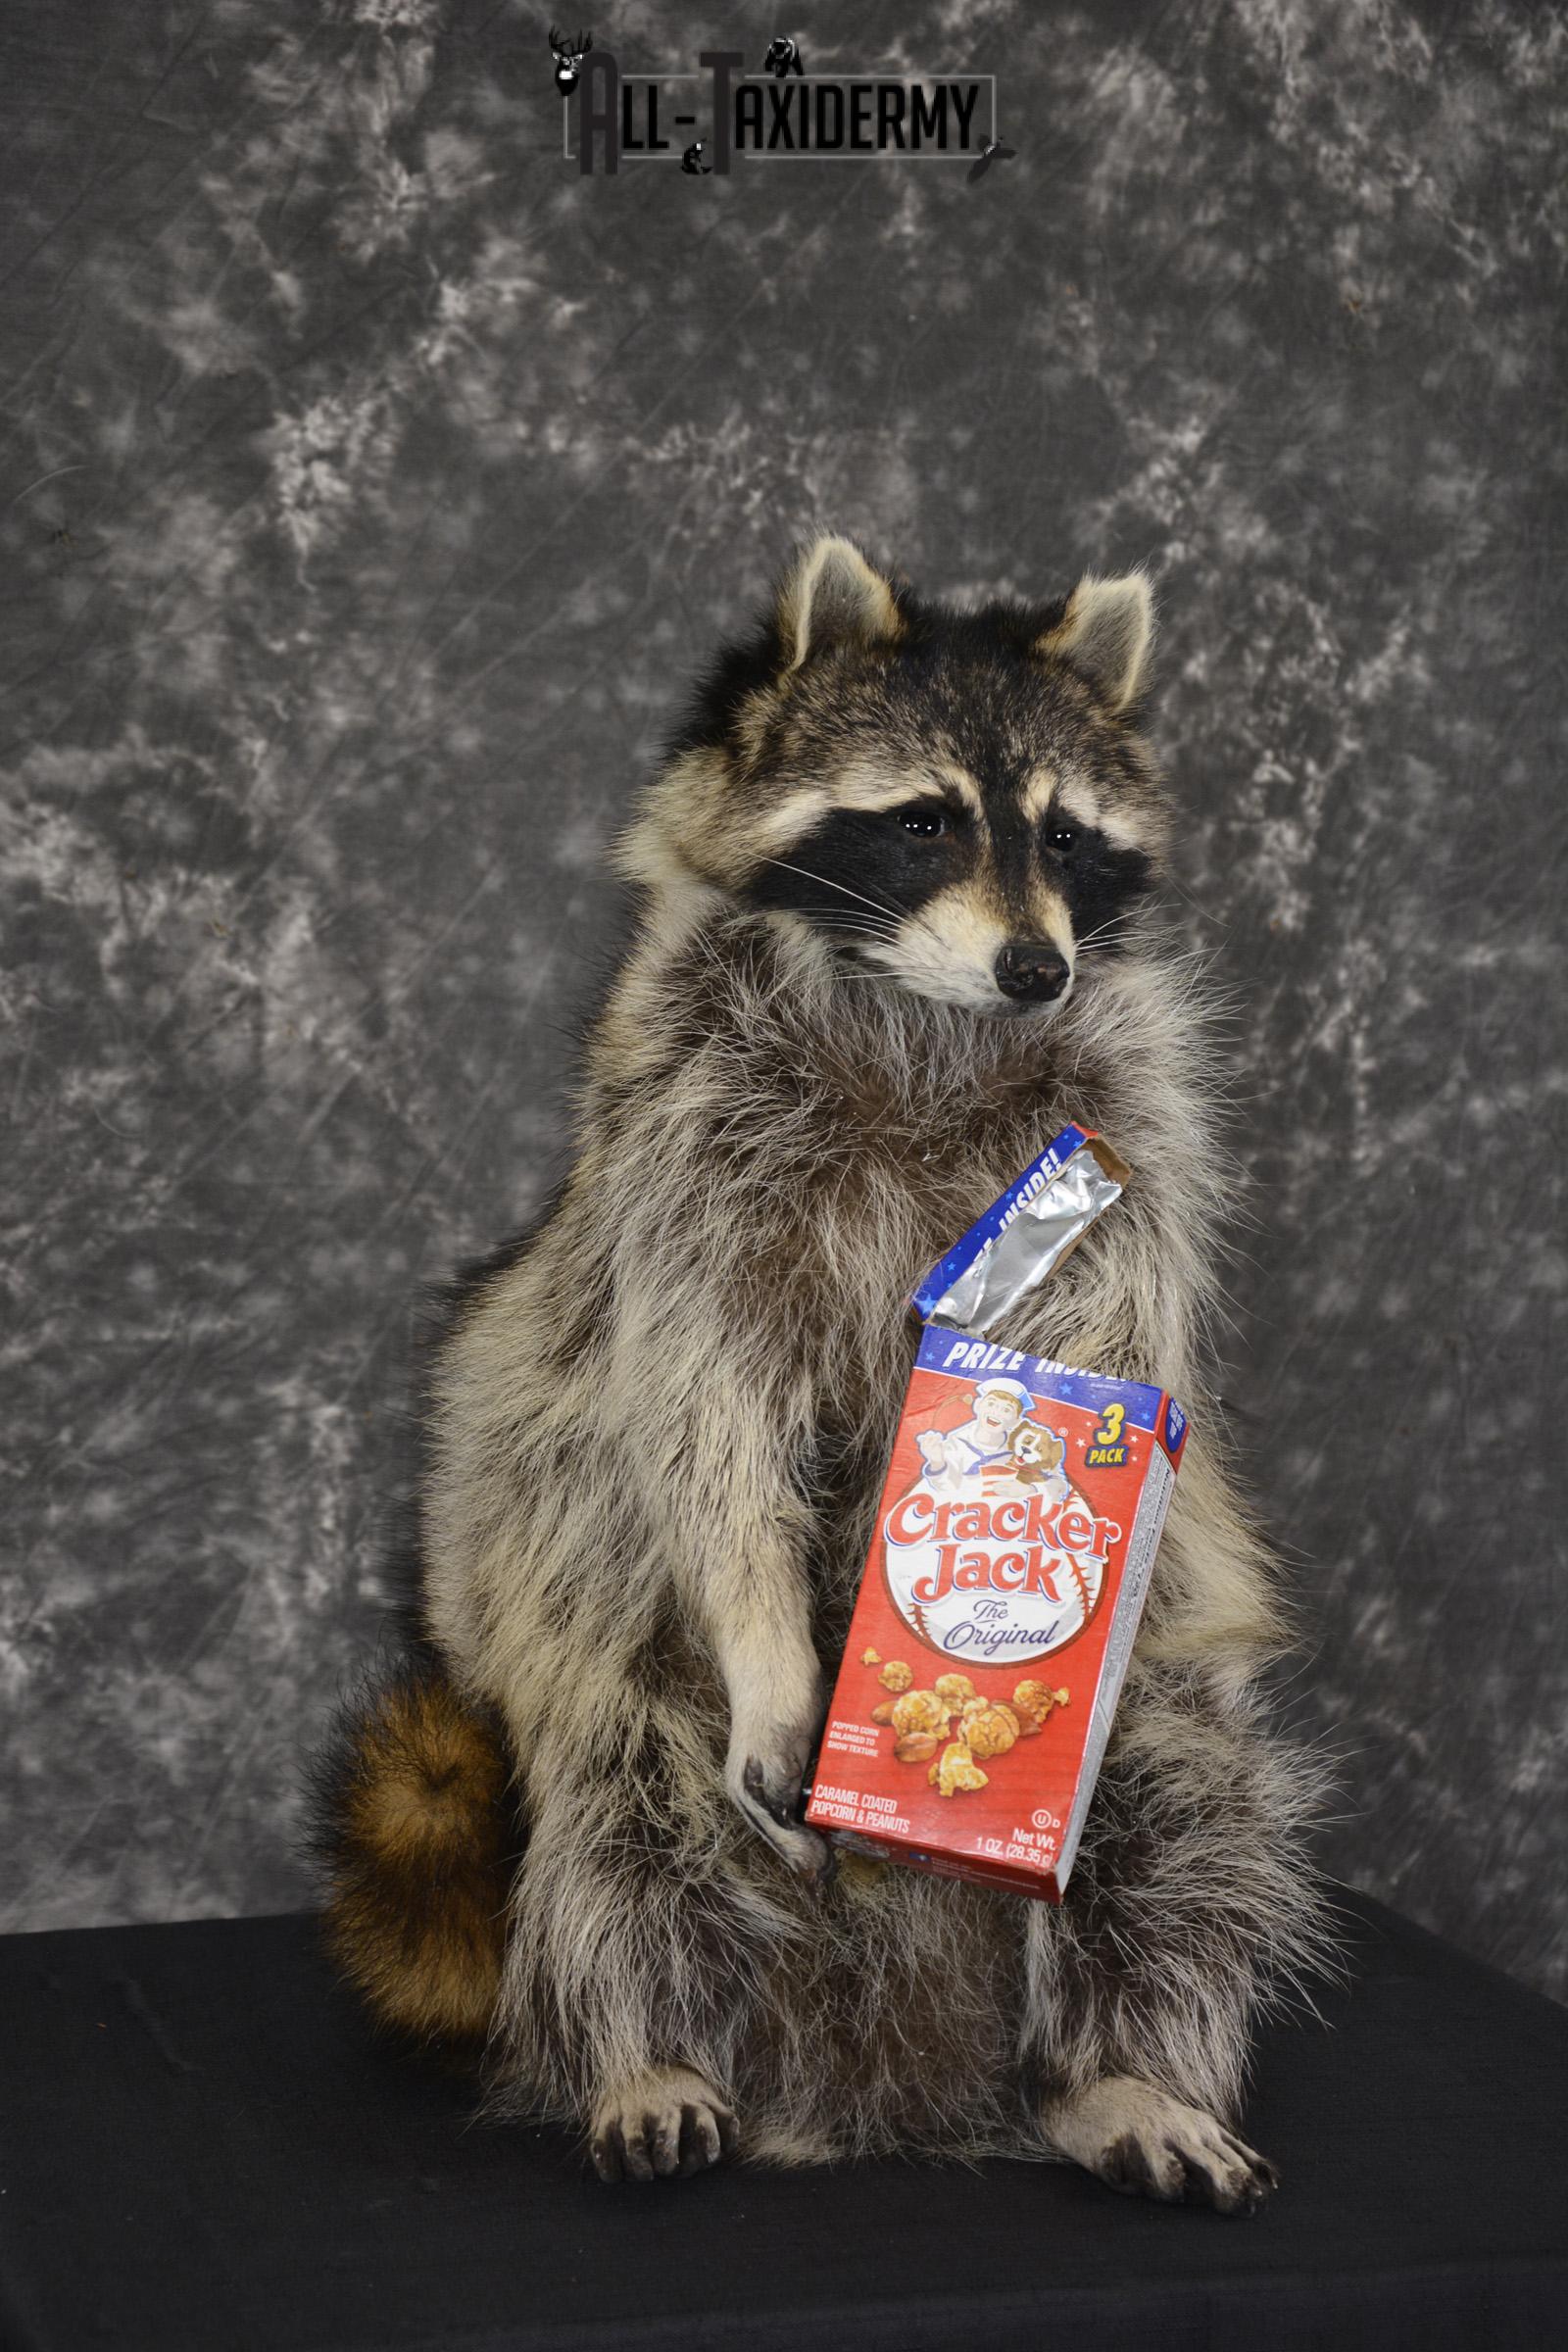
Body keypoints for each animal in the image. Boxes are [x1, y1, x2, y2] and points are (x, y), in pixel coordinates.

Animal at [305, 536, 1341, 2210]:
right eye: (924, 821)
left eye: (1065, 834)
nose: (1038, 966)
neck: (924, 1007)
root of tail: (869, 2094)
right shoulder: (688, 1141)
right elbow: (701, 1410)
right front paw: (774, 1640)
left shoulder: (1125, 1132)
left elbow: (1116, 1345)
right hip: (608, 1681)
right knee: (617, 1804)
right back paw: (644, 2046)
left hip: (1150, 1751)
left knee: (1183, 1814)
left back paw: (1118, 2072)